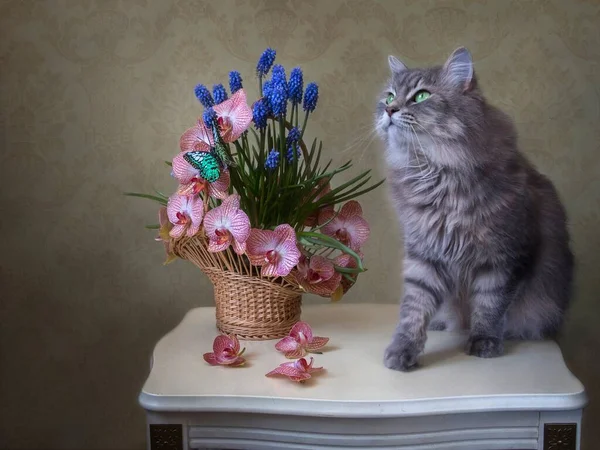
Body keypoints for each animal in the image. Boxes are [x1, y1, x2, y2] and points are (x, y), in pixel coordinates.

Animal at [378, 47, 576, 372]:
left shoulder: (505, 258)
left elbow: (490, 304)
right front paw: (402, 350)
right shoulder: (424, 254)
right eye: (389, 96)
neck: (436, 175)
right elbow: (414, 309)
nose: (389, 110)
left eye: (421, 96)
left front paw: (484, 342)